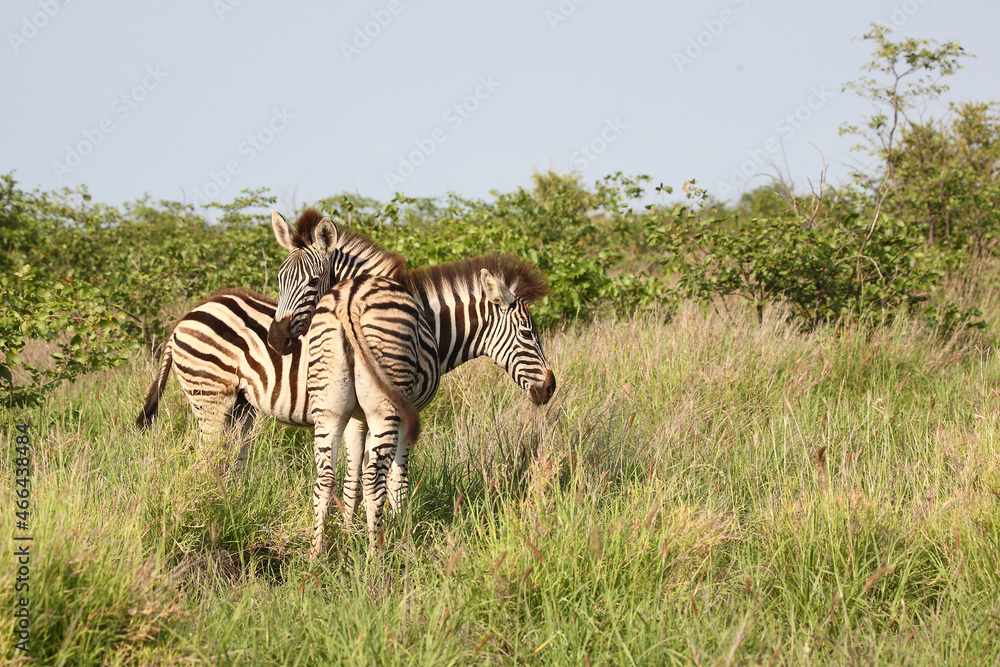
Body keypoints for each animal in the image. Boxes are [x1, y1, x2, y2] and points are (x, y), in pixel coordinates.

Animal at [134, 209, 406, 460]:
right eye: (279, 279)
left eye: (314, 281)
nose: (275, 339)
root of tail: (185, 316)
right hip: (209, 392)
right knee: (208, 454)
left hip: (239, 403)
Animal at [270, 251, 556, 554]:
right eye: (527, 334)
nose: (550, 387)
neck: (434, 326)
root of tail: (350, 300)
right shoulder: (405, 415)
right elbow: (397, 480)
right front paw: (399, 532)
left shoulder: (357, 419)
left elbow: (351, 478)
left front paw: (348, 536)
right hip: (385, 408)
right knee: (374, 479)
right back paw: (375, 556)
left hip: (329, 409)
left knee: (325, 479)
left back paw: (317, 555)